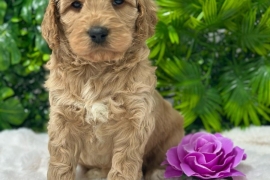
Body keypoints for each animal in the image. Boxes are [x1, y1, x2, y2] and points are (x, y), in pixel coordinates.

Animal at [42, 0, 185, 180]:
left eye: (118, 2)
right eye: (75, 5)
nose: (97, 33)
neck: (97, 68)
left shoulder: (134, 118)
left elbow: (125, 163)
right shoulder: (63, 117)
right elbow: (61, 162)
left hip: (171, 138)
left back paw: (158, 173)